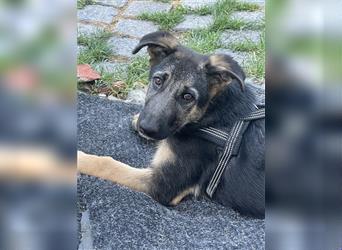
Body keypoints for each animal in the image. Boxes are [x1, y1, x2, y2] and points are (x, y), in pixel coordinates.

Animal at [77, 31, 264, 218]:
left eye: (188, 97)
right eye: (158, 80)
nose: (146, 128)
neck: (211, 114)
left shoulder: (162, 184)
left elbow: (109, 165)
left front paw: (79, 158)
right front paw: (137, 120)